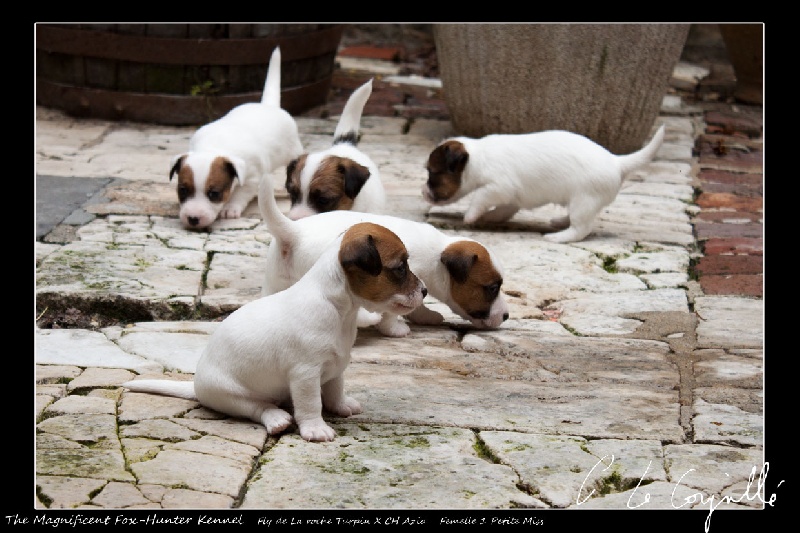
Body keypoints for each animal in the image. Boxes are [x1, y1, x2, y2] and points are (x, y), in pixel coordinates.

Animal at [122, 222, 426, 442]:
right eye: (400, 267)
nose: (424, 291)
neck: (338, 308)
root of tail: (196, 387)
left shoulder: (335, 366)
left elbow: (335, 389)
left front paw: (341, 406)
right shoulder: (305, 374)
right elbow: (311, 404)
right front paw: (315, 428)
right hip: (231, 396)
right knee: (258, 409)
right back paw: (277, 419)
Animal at [169, 46, 303, 230]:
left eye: (214, 194)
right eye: (183, 190)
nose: (193, 219)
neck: (215, 146)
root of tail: (268, 105)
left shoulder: (252, 178)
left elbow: (241, 193)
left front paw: (230, 208)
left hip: (293, 152)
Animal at [260, 176, 509, 338]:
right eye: (492, 288)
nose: (506, 316)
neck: (436, 255)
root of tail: (293, 232)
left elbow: (417, 303)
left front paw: (425, 316)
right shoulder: (396, 286)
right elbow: (396, 309)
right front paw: (395, 329)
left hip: (274, 284)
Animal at [423, 124, 666, 243]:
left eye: (432, 172)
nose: (423, 192)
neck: (478, 157)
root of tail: (617, 162)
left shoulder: (497, 187)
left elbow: (479, 198)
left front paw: (470, 216)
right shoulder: (511, 197)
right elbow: (505, 210)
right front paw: (491, 217)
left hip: (583, 201)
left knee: (582, 228)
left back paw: (558, 237)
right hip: (581, 203)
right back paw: (559, 222)